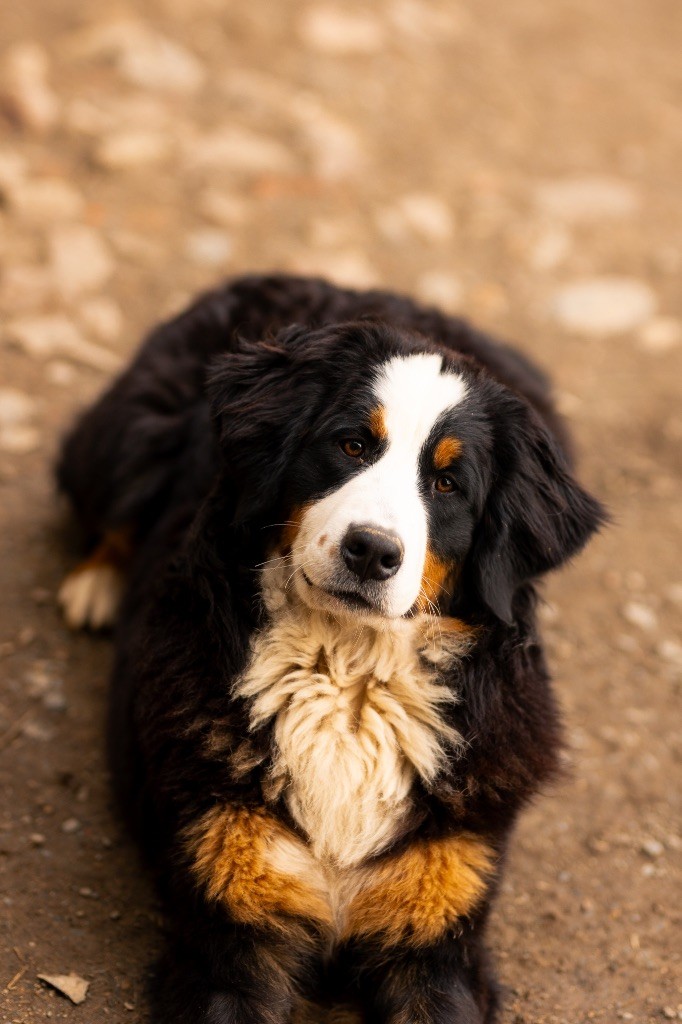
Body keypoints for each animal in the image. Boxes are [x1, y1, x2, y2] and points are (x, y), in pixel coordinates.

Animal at [55, 272, 602, 1024]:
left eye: (448, 484)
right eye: (350, 446)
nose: (371, 550)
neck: (348, 680)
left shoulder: (435, 938)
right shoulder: (232, 930)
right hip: (132, 436)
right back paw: (97, 585)